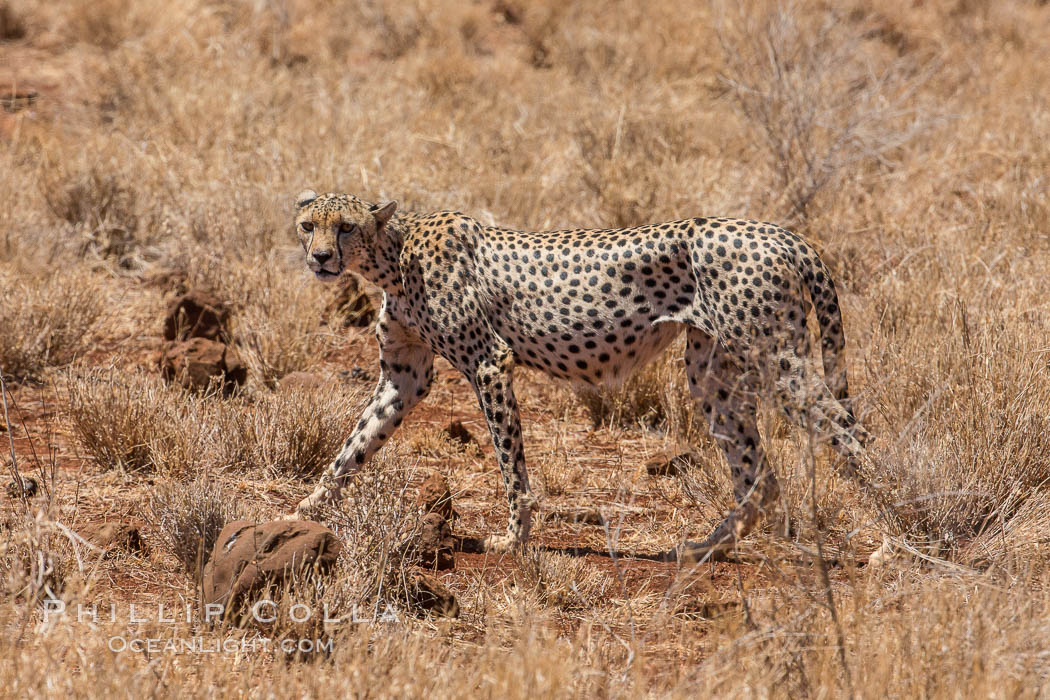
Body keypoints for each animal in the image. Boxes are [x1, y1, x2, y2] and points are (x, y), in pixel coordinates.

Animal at [289, 189, 894, 562]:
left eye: (346, 227)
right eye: (308, 225)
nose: (320, 258)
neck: (393, 256)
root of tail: (780, 232)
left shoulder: (490, 362)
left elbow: (511, 468)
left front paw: (514, 540)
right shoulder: (404, 378)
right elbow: (353, 447)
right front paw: (305, 510)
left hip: (779, 357)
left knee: (848, 428)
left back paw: (893, 535)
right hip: (712, 374)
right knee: (761, 475)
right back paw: (704, 549)